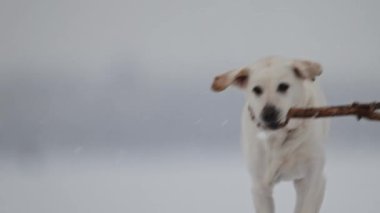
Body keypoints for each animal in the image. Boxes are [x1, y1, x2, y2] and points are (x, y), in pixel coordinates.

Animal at [211, 56, 330, 213]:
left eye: (283, 86)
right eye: (256, 89)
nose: (268, 114)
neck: (279, 138)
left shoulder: (311, 180)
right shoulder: (260, 187)